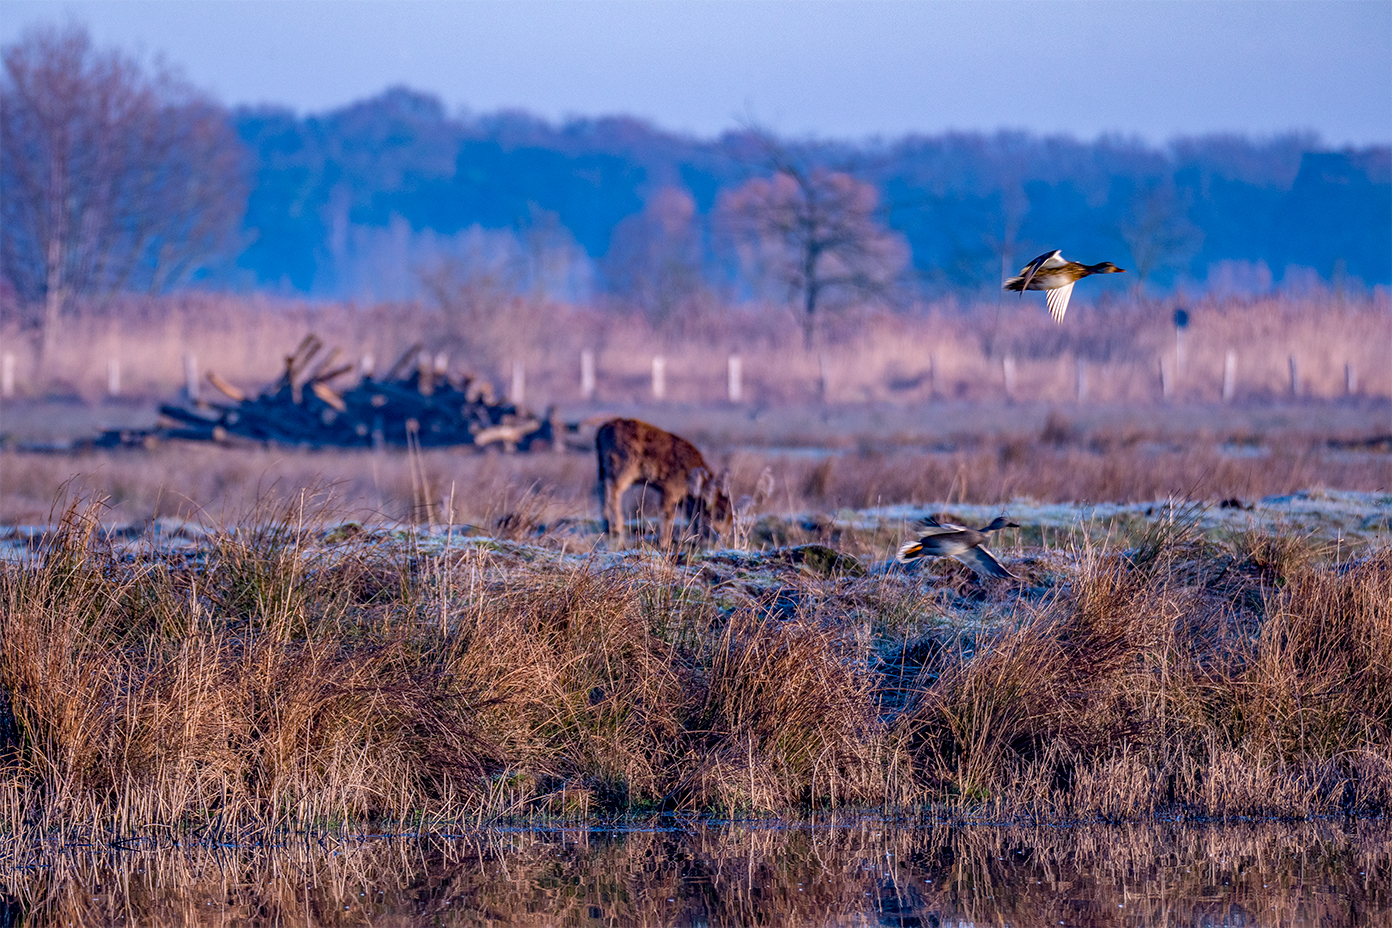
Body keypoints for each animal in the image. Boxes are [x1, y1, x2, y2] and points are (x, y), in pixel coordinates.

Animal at [592, 420, 734, 545]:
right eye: (719, 515)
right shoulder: (669, 490)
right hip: (623, 468)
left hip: (602, 469)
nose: (724, 537)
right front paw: (664, 542)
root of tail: (603, 428)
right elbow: (667, 514)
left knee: (601, 489)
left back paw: (607, 526)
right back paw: (616, 527)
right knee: (612, 489)